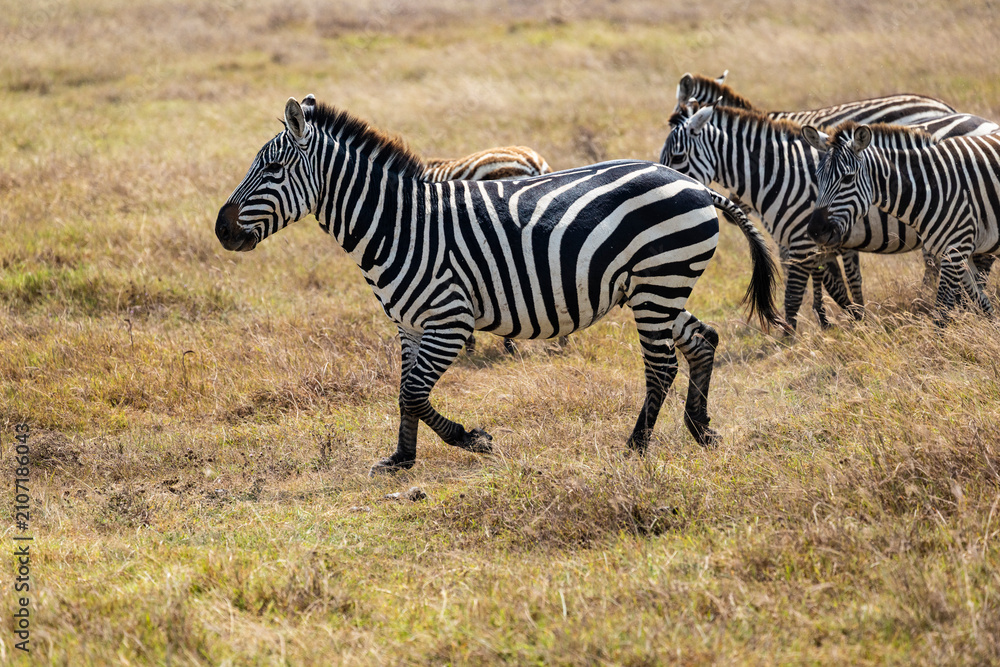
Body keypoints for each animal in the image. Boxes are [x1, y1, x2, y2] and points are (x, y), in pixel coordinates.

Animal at [216, 96, 786, 473]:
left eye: (272, 168)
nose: (222, 229)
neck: (399, 224)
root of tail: (694, 184)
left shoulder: (449, 319)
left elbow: (416, 392)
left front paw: (473, 439)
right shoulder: (407, 324)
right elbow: (403, 392)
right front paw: (401, 458)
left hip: (658, 281)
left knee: (663, 365)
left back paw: (637, 445)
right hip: (656, 286)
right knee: (702, 341)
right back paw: (701, 429)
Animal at [804, 122, 1000, 323]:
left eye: (848, 178)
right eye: (818, 177)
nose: (815, 231)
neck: (931, 187)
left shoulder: (955, 249)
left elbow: (941, 314)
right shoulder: (957, 253)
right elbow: (983, 304)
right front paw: (991, 328)